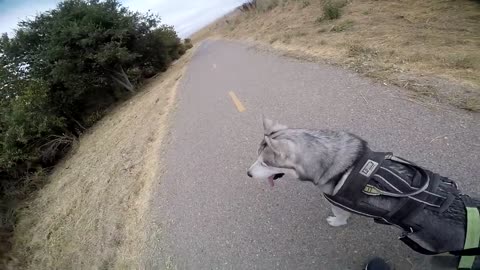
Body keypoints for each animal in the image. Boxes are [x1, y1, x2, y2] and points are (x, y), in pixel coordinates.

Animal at [248, 117, 480, 258]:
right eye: (257, 158)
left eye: (264, 163)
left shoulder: (338, 203)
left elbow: (340, 216)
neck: (345, 165)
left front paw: (337, 222)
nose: (248, 174)